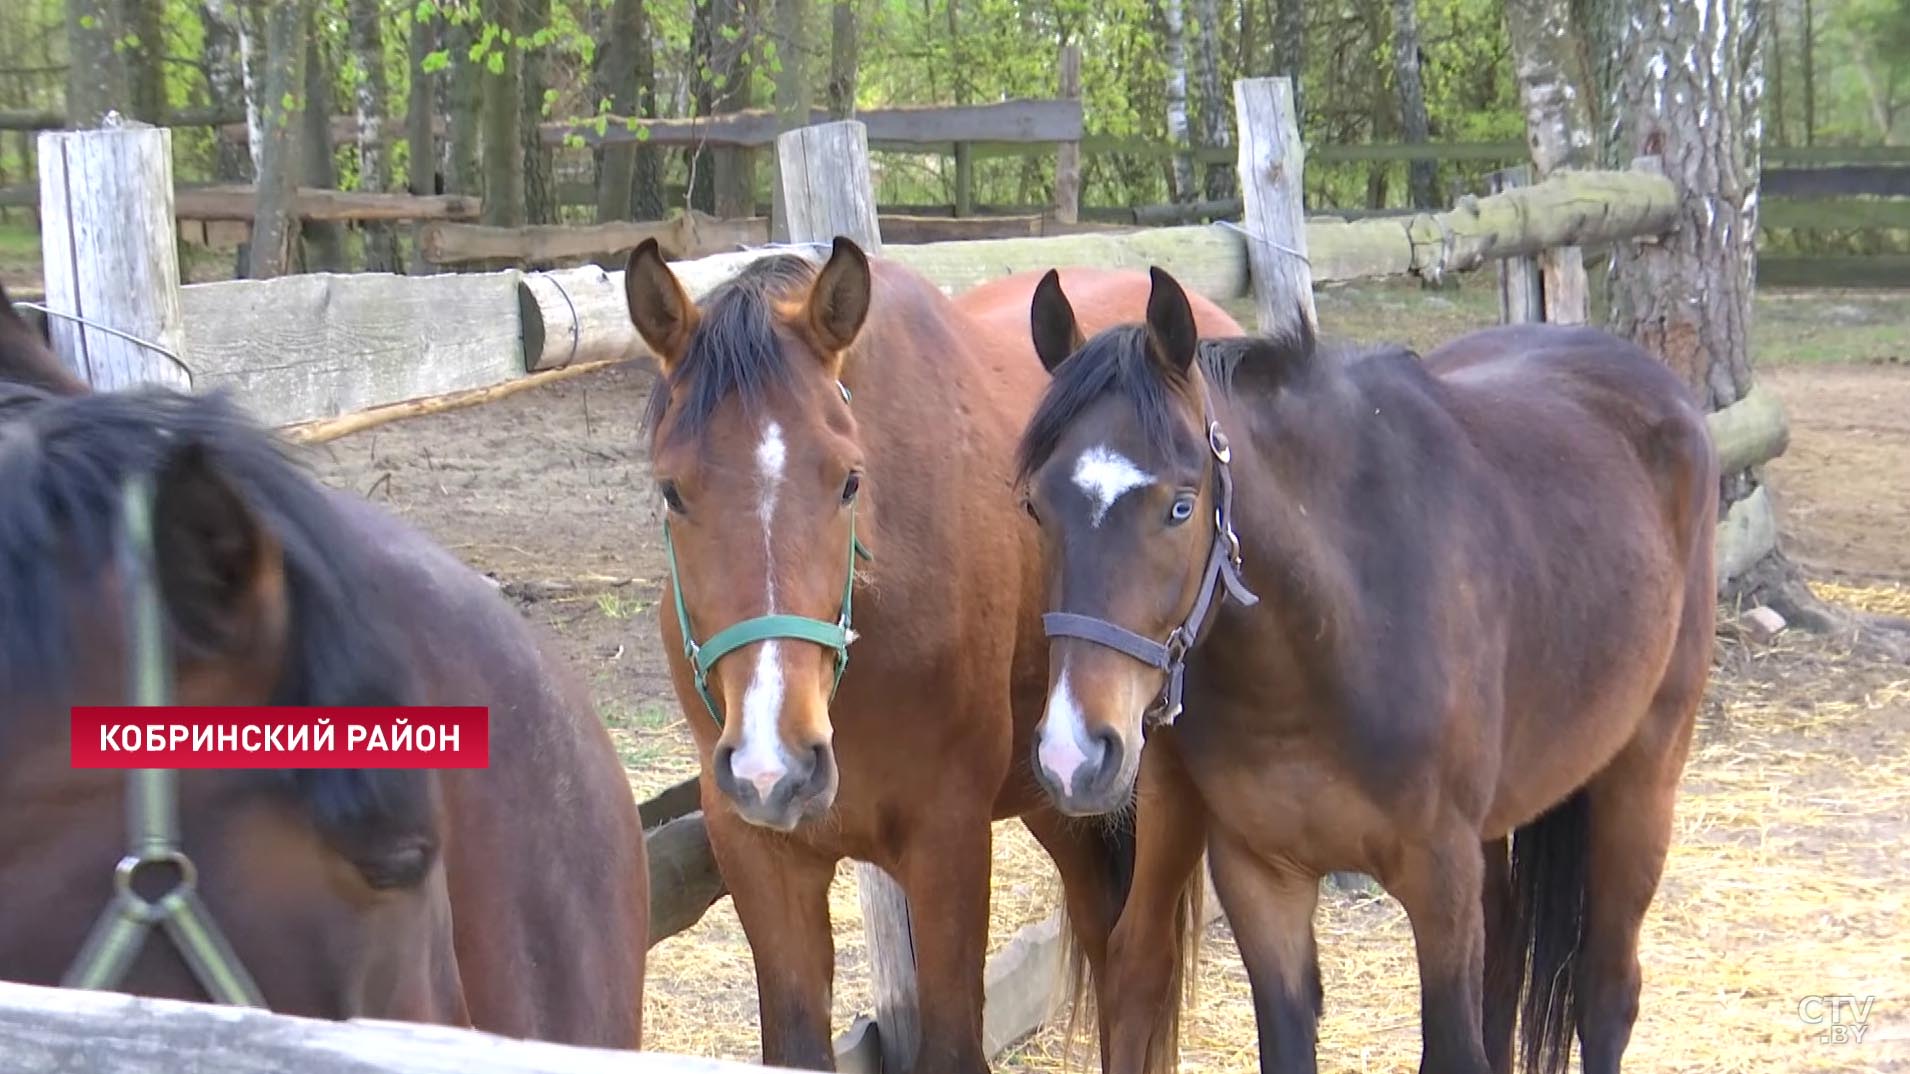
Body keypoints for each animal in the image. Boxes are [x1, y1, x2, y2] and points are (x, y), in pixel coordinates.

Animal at [615, 237, 1237, 1062]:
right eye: (672, 490)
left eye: (849, 480)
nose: (776, 763)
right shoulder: (759, 854)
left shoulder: (949, 843)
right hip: (1064, 797)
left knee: (1140, 964)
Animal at [1023, 265, 1726, 1070]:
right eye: (1036, 507)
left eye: (1180, 506)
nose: (1074, 752)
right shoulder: (1263, 881)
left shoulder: (1441, 879)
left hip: (1641, 780)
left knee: (1607, 993)